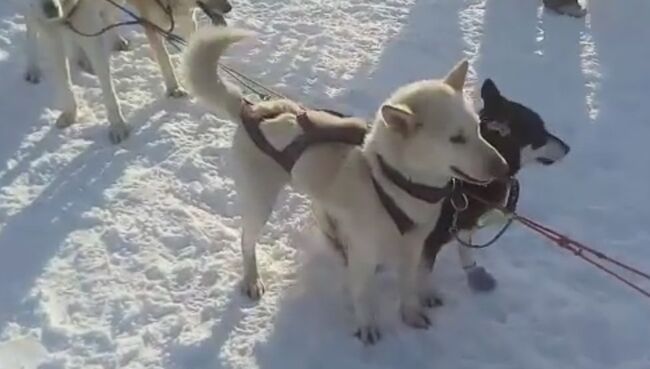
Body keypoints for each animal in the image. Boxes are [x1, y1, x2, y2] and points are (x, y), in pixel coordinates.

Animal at [24, 0, 232, 142]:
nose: (229, 7)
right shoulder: (150, 24)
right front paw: (174, 88)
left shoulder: (187, 19)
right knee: (31, 30)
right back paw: (33, 69)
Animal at [181, 27, 506, 344]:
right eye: (456, 139)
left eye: (477, 128)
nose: (502, 167)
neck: (389, 180)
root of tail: (252, 110)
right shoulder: (365, 253)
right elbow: (363, 293)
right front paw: (367, 326)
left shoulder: (414, 248)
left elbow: (408, 287)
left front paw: (411, 313)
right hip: (260, 203)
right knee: (246, 242)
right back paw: (252, 278)